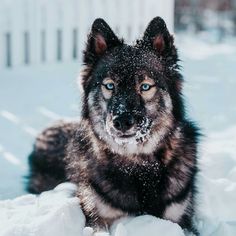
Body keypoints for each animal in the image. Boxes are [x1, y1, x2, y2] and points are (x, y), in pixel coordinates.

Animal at [26, 17, 200, 234]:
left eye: (145, 86)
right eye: (109, 86)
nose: (122, 122)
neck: (138, 166)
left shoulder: (182, 219)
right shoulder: (97, 218)